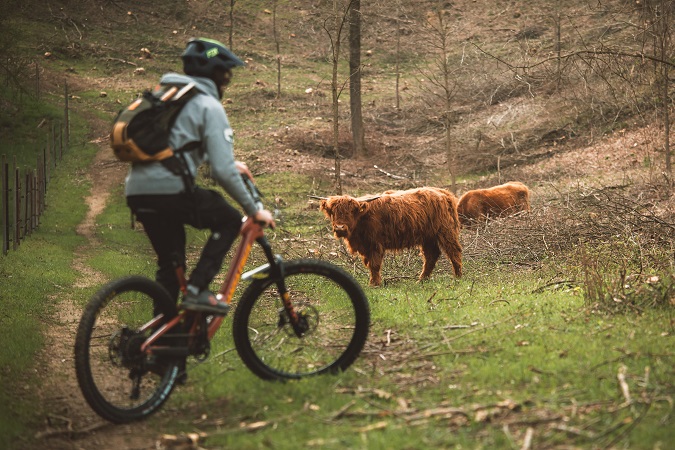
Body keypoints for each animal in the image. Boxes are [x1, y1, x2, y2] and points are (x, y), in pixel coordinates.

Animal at [320, 187, 462, 286]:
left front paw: (375, 284)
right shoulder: (366, 246)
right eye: (333, 212)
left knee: (453, 251)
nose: (340, 227)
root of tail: (443, 192)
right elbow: (370, 265)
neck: (362, 219)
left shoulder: (375, 244)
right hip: (428, 237)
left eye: (351, 212)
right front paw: (374, 282)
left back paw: (458, 277)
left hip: (445, 231)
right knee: (431, 256)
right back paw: (421, 280)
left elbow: (375, 265)